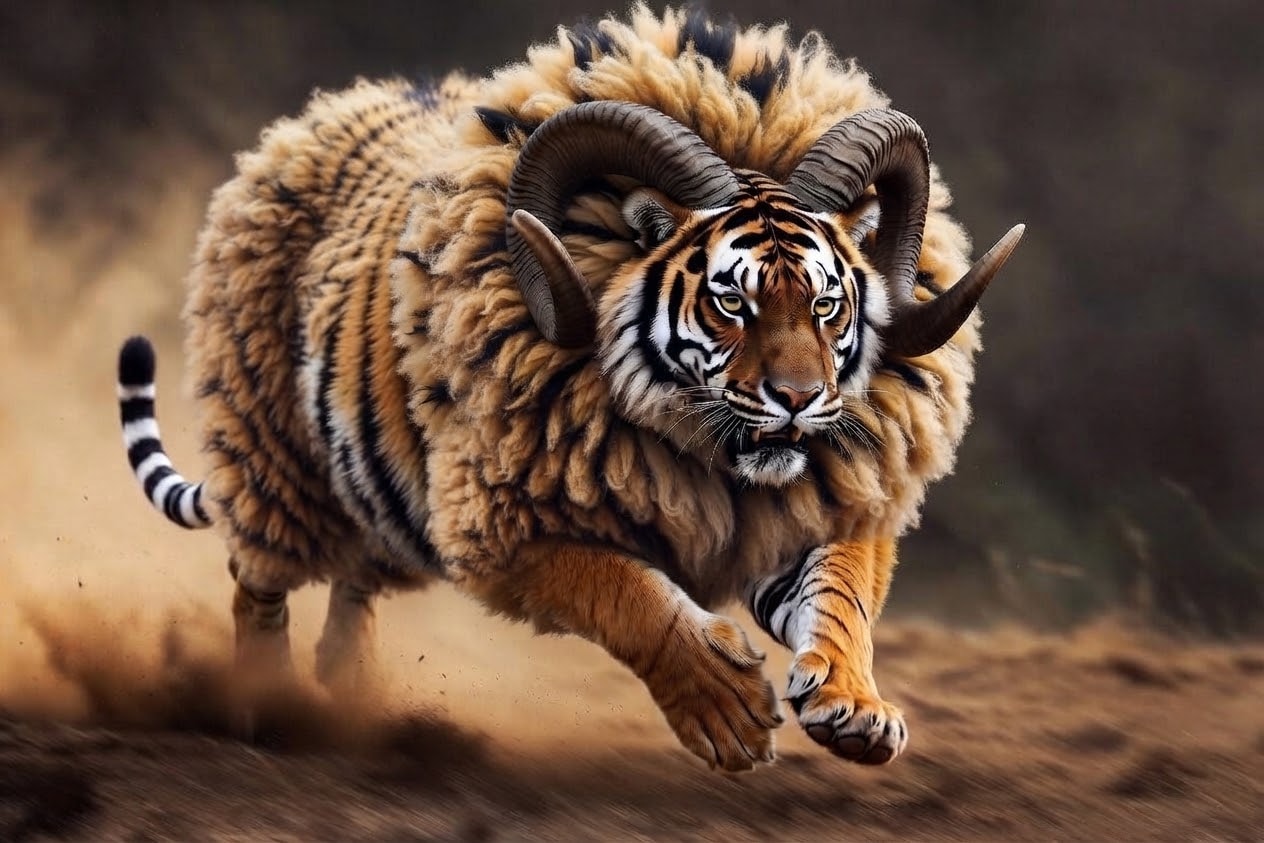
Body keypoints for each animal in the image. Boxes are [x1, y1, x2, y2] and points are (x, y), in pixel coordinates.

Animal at [113, 6, 1022, 772]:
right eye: (733, 301)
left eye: (828, 303)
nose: (800, 399)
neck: (711, 459)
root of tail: (292, 130)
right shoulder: (507, 522)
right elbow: (629, 595)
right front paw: (727, 711)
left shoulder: (814, 507)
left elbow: (843, 595)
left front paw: (854, 708)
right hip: (272, 459)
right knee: (257, 581)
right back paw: (268, 707)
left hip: (374, 506)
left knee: (349, 589)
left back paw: (354, 692)